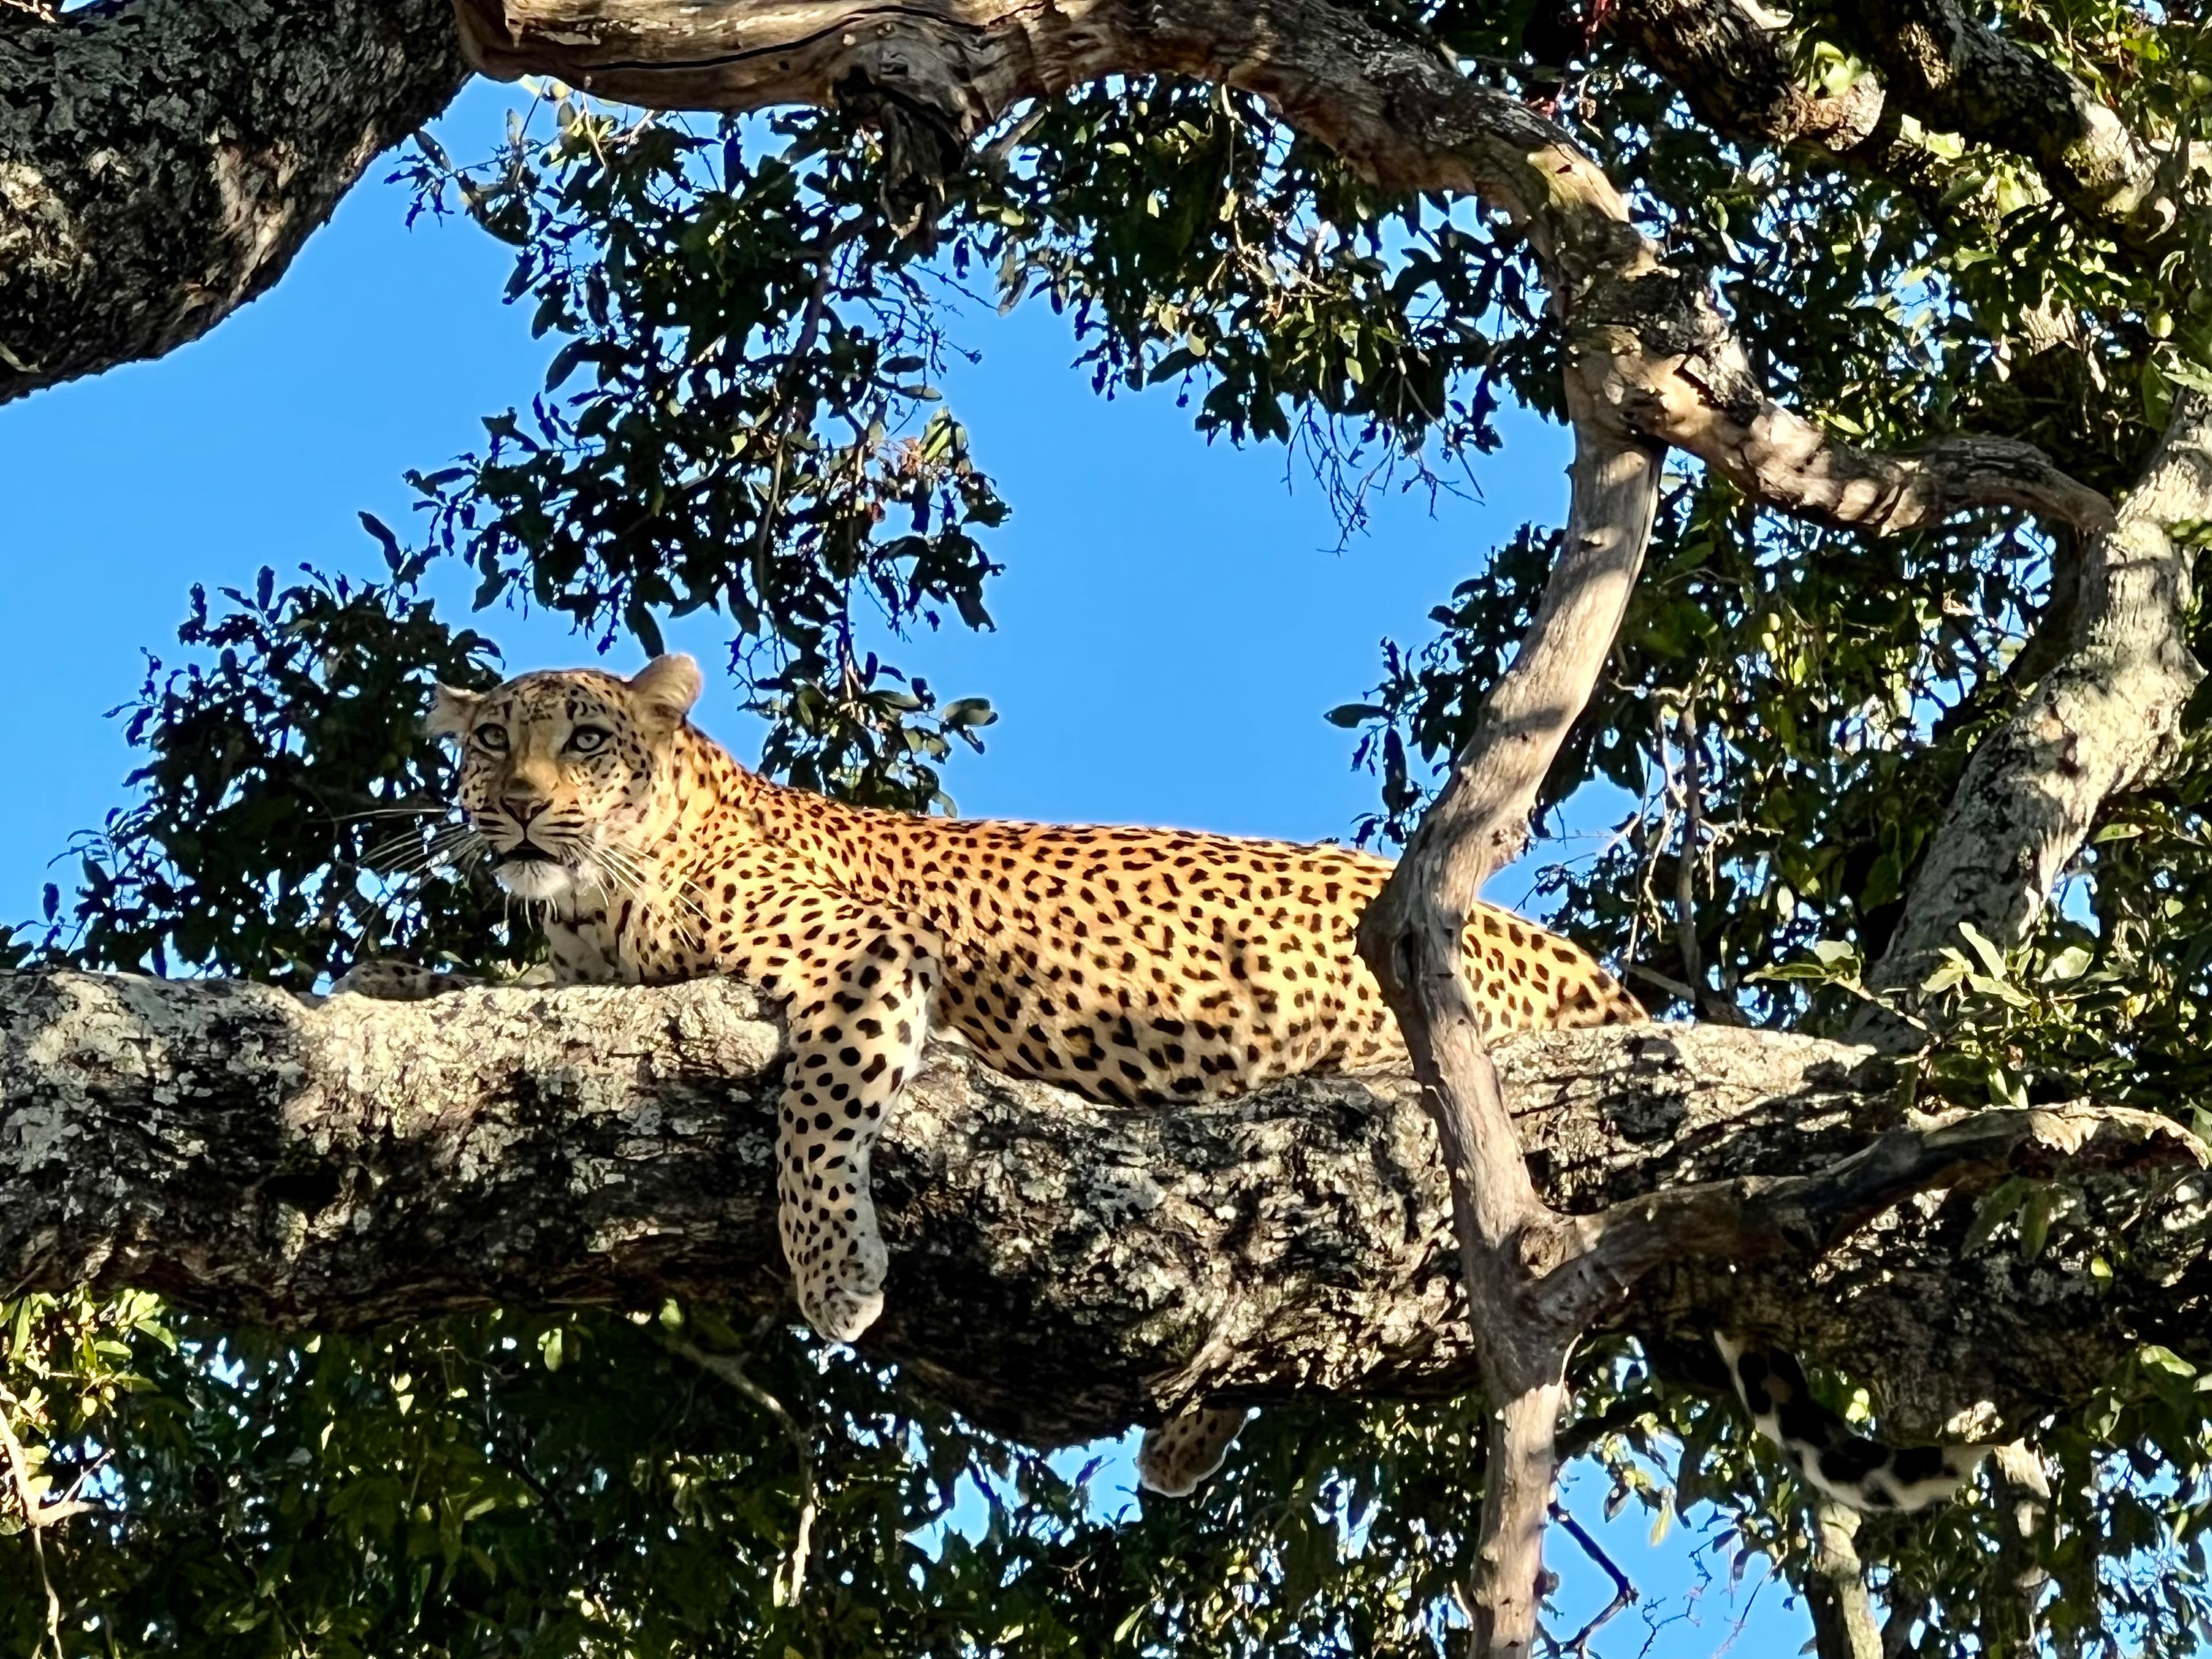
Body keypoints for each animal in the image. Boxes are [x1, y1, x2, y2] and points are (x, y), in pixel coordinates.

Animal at [338, 654, 1976, 1507]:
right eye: (490, 745)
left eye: (587, 737)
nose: (519, 806)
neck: (602, 903)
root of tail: (1596, 974)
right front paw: (396, 978)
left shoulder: (861, 961)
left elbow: (818, 1105)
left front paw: (837, 1271)